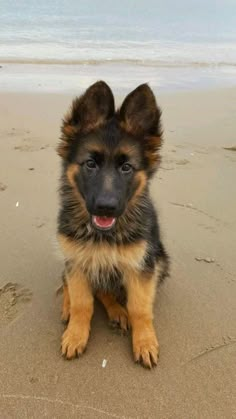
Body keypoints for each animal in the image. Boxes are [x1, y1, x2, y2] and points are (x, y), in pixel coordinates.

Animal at [57, 81, 169, 368]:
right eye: (90, 164)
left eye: (126, 167)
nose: (105, 207)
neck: (104, 233)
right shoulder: (76, 260)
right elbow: (82, 303)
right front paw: (75, 334)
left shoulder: (142, 266)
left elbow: (139, 308)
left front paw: (145, 341)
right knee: (72, 285)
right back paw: (69, 306)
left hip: (161, 258)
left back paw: (118, 312)